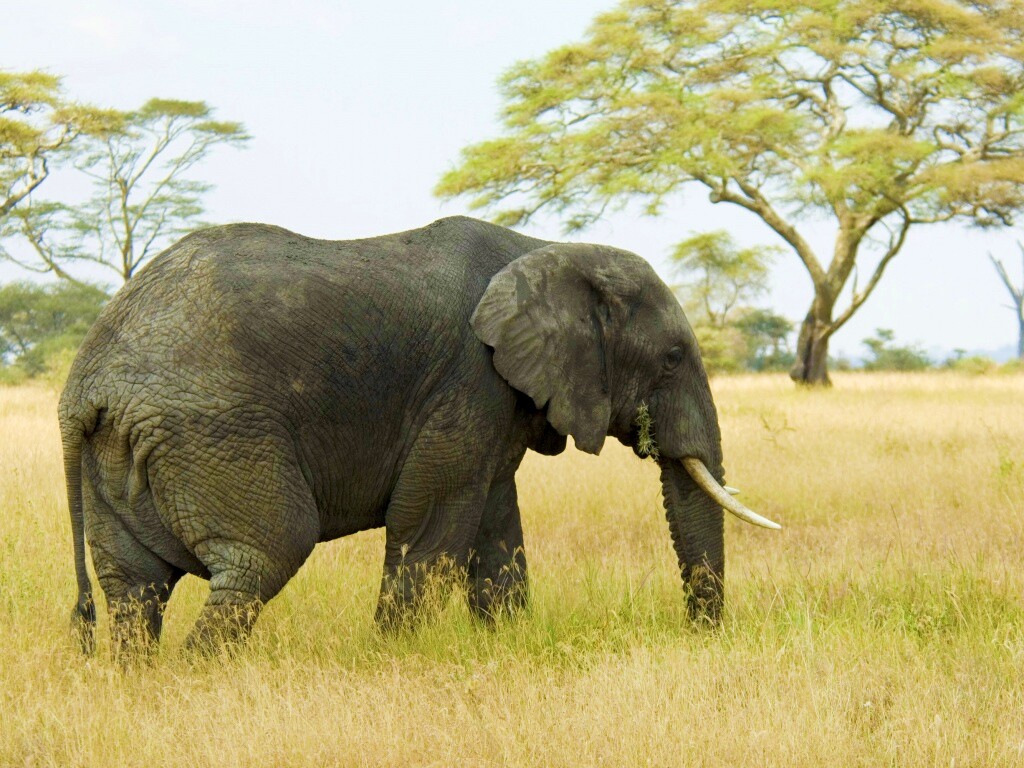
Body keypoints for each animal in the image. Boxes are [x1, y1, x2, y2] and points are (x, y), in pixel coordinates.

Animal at [59, 215, 778, 656]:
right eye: (672, 359)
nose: (700, 637)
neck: (546, 249)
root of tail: (86, 383)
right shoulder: (468, 379)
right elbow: (431, 520)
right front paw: (393, 656)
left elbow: (494, 523)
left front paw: (503, 646)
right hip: (214, 431)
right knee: (264, 554)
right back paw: (199, 678)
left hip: (121, 451)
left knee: (135, 588)